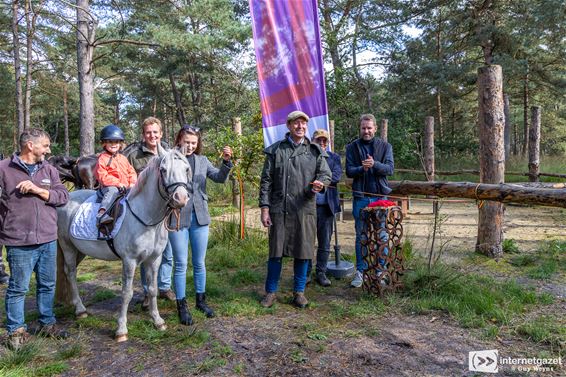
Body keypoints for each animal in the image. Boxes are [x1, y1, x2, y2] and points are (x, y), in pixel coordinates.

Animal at [56, 150, 192, 340]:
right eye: (163, 170)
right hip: (67, 246)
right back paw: (80, 310)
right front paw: (121, 329)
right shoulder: (129, 260)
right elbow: (127, 293)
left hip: (79, 250)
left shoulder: (154, 259)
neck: (146, 217)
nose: (181, 198)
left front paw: (158, 321)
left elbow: (152, 289)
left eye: (186, 168)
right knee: (70, 272)